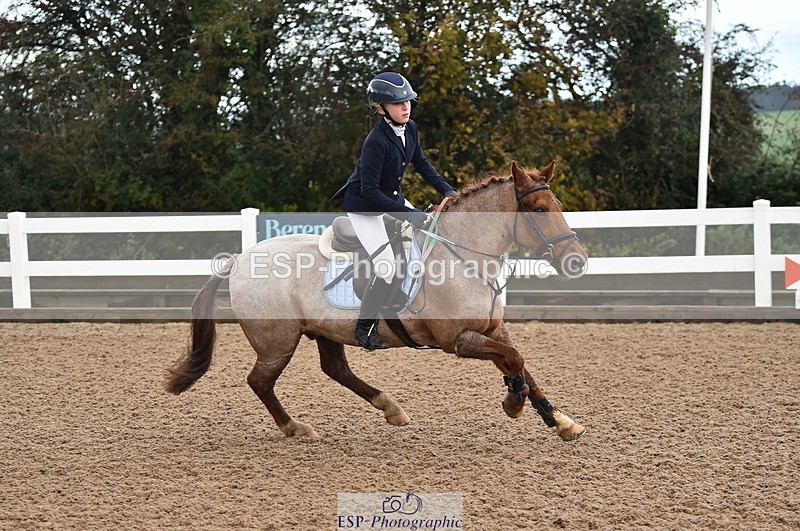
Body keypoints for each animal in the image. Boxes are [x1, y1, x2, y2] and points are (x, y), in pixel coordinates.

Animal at [165, 161, 589, 441]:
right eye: (539, 210)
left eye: (558, 207)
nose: (578, 261)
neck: (464, 256)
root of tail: (238, 261)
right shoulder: (457, 341)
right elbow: (513, 360)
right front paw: (513, 402)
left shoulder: (492, 329)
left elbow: (519, 362)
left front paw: (559, 420)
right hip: (277, 342)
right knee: (260, 381)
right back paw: (295, 427)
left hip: (325, 331)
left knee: (335, 369)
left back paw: (391, 409)